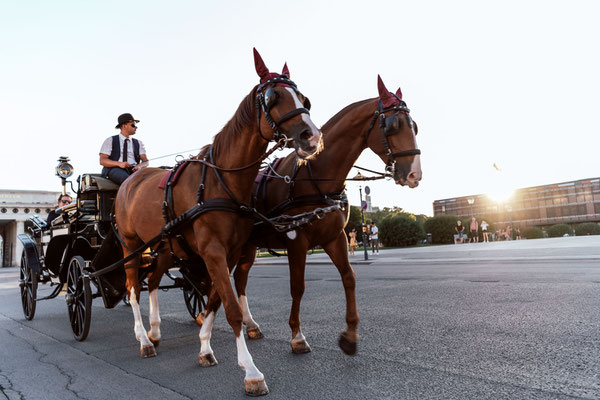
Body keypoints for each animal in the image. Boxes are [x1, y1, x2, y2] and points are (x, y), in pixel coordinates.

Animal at [116, 48, 324, 396]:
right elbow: (232, 309)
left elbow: (216, 299)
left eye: (304, 99)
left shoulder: (230, 252)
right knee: (133, 288)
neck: (220, 181)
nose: (312, 137)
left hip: (165, 246)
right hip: (131, 245)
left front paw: (204, 347)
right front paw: (251, 371)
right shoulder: (213, 251)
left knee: (154, 281)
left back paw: (155, 331)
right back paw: (143, 339)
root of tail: (132, 178)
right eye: (273, 97)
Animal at [202, 74, 422, 356]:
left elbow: (349, 278)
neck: (315, 176)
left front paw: (350, 334)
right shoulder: (297, 241)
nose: (415, 174)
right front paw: (297, 335)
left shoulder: (335, 238)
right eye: (394, 125)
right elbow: (298, 287)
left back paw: (250, 324)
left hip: (247, 245)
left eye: (414, 126)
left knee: (240, 278)